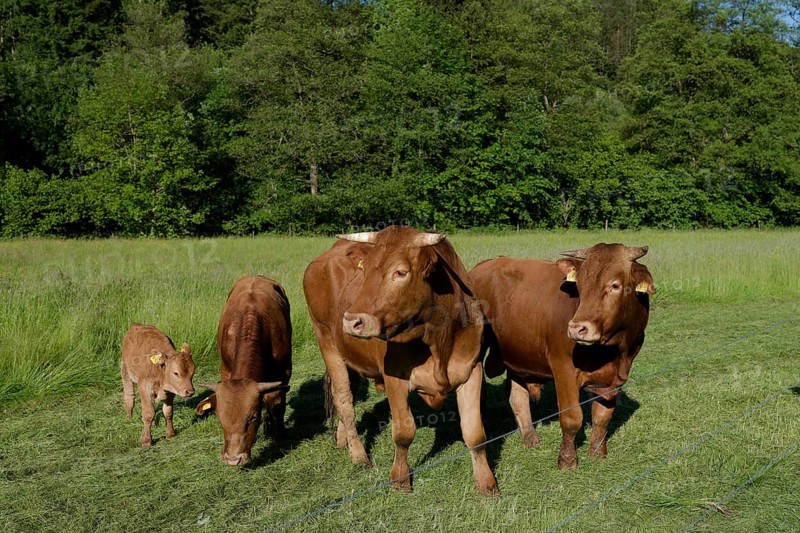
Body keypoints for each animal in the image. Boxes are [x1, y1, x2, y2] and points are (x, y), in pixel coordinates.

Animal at [196, 275, 292, 466]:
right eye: (220, 418)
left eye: (252, 418)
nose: (234, 460)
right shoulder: (225, 369)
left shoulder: (283, 372)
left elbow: (277, 403)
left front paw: (279, 433)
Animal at [304, 225, 498, 495]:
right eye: (364, 269)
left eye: (400, 272)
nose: (352, 321)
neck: (438, 339)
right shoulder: (394, 378)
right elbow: (404, 433)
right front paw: (400, 478)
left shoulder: (471, 371)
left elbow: (475, 434)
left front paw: (486, 482)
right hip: (326, 342)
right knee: (344, 399)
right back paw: (359, 455)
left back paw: (343, 440)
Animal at [470, 243, 654, 470]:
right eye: (580, 286)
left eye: (615, 285)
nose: (577, 329)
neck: (612, 351)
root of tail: (483, 266)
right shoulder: (564, 369)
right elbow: (571, 418)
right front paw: (567, 461)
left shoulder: (615, 378)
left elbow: (602, 416)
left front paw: (597, 453)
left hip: (517, 354)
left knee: (517, 398)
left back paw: (531, 439)